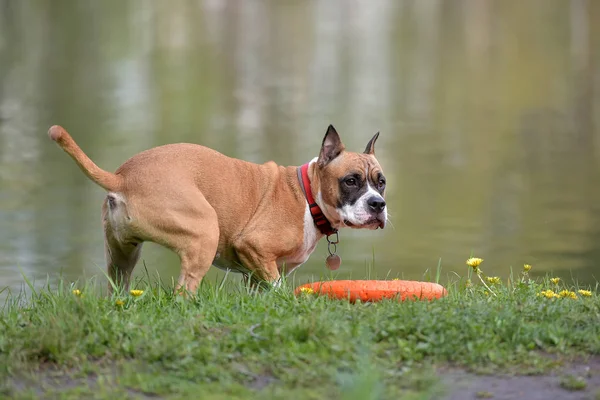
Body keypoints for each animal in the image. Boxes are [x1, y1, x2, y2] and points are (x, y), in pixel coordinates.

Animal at [45, 126, 384, 294]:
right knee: (183, 292)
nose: (378, 205)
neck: (307, 194)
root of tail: (123, 176)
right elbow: (278, 288)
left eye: (381, 182)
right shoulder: (255, 248)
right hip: (204, 233)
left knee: (117, 284)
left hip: (121, 256)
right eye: (351, 181)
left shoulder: (256, 273)